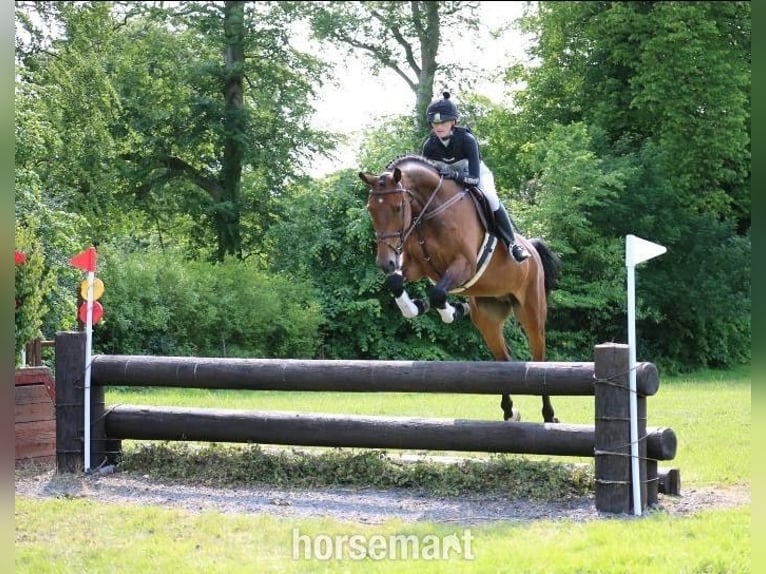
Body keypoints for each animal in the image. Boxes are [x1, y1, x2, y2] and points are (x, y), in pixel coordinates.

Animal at [359, 155, 562, 423]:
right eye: (371, 209)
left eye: (398, 208)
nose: (385, 263)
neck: (430, 211)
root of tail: (532, 248)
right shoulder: (417, 266)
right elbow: (397, 283)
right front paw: (417, 307)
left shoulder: (464, 265)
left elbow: (437, 294)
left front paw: (451, 312)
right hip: (487, 318)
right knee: (503, 359)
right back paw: (509, 412)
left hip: (531, 312)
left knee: (540, 359)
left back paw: (549, 416)